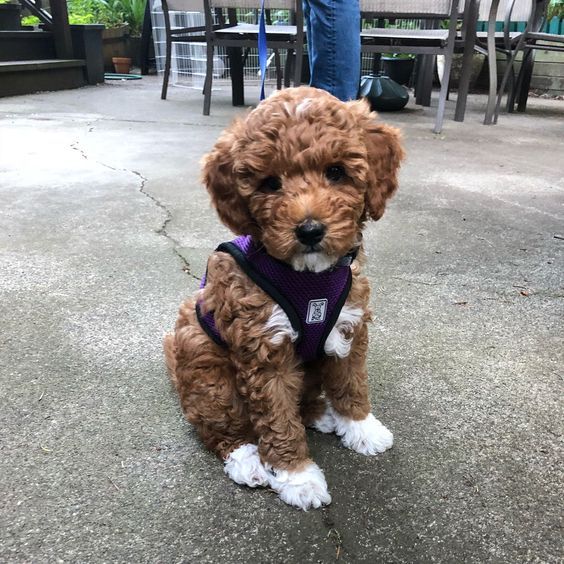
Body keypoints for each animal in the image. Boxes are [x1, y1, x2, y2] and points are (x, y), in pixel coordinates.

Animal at [164, 87, 406, 512]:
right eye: (269, 183)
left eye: (336, 172)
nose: (309, 230)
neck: (308, 277)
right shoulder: (265, 352)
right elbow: (278, 419)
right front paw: (298, 477)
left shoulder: (349, 328)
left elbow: (351, 383)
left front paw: (361, 426)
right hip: (206, 368)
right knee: (220, 426)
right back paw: (247, 460)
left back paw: (320, 413)